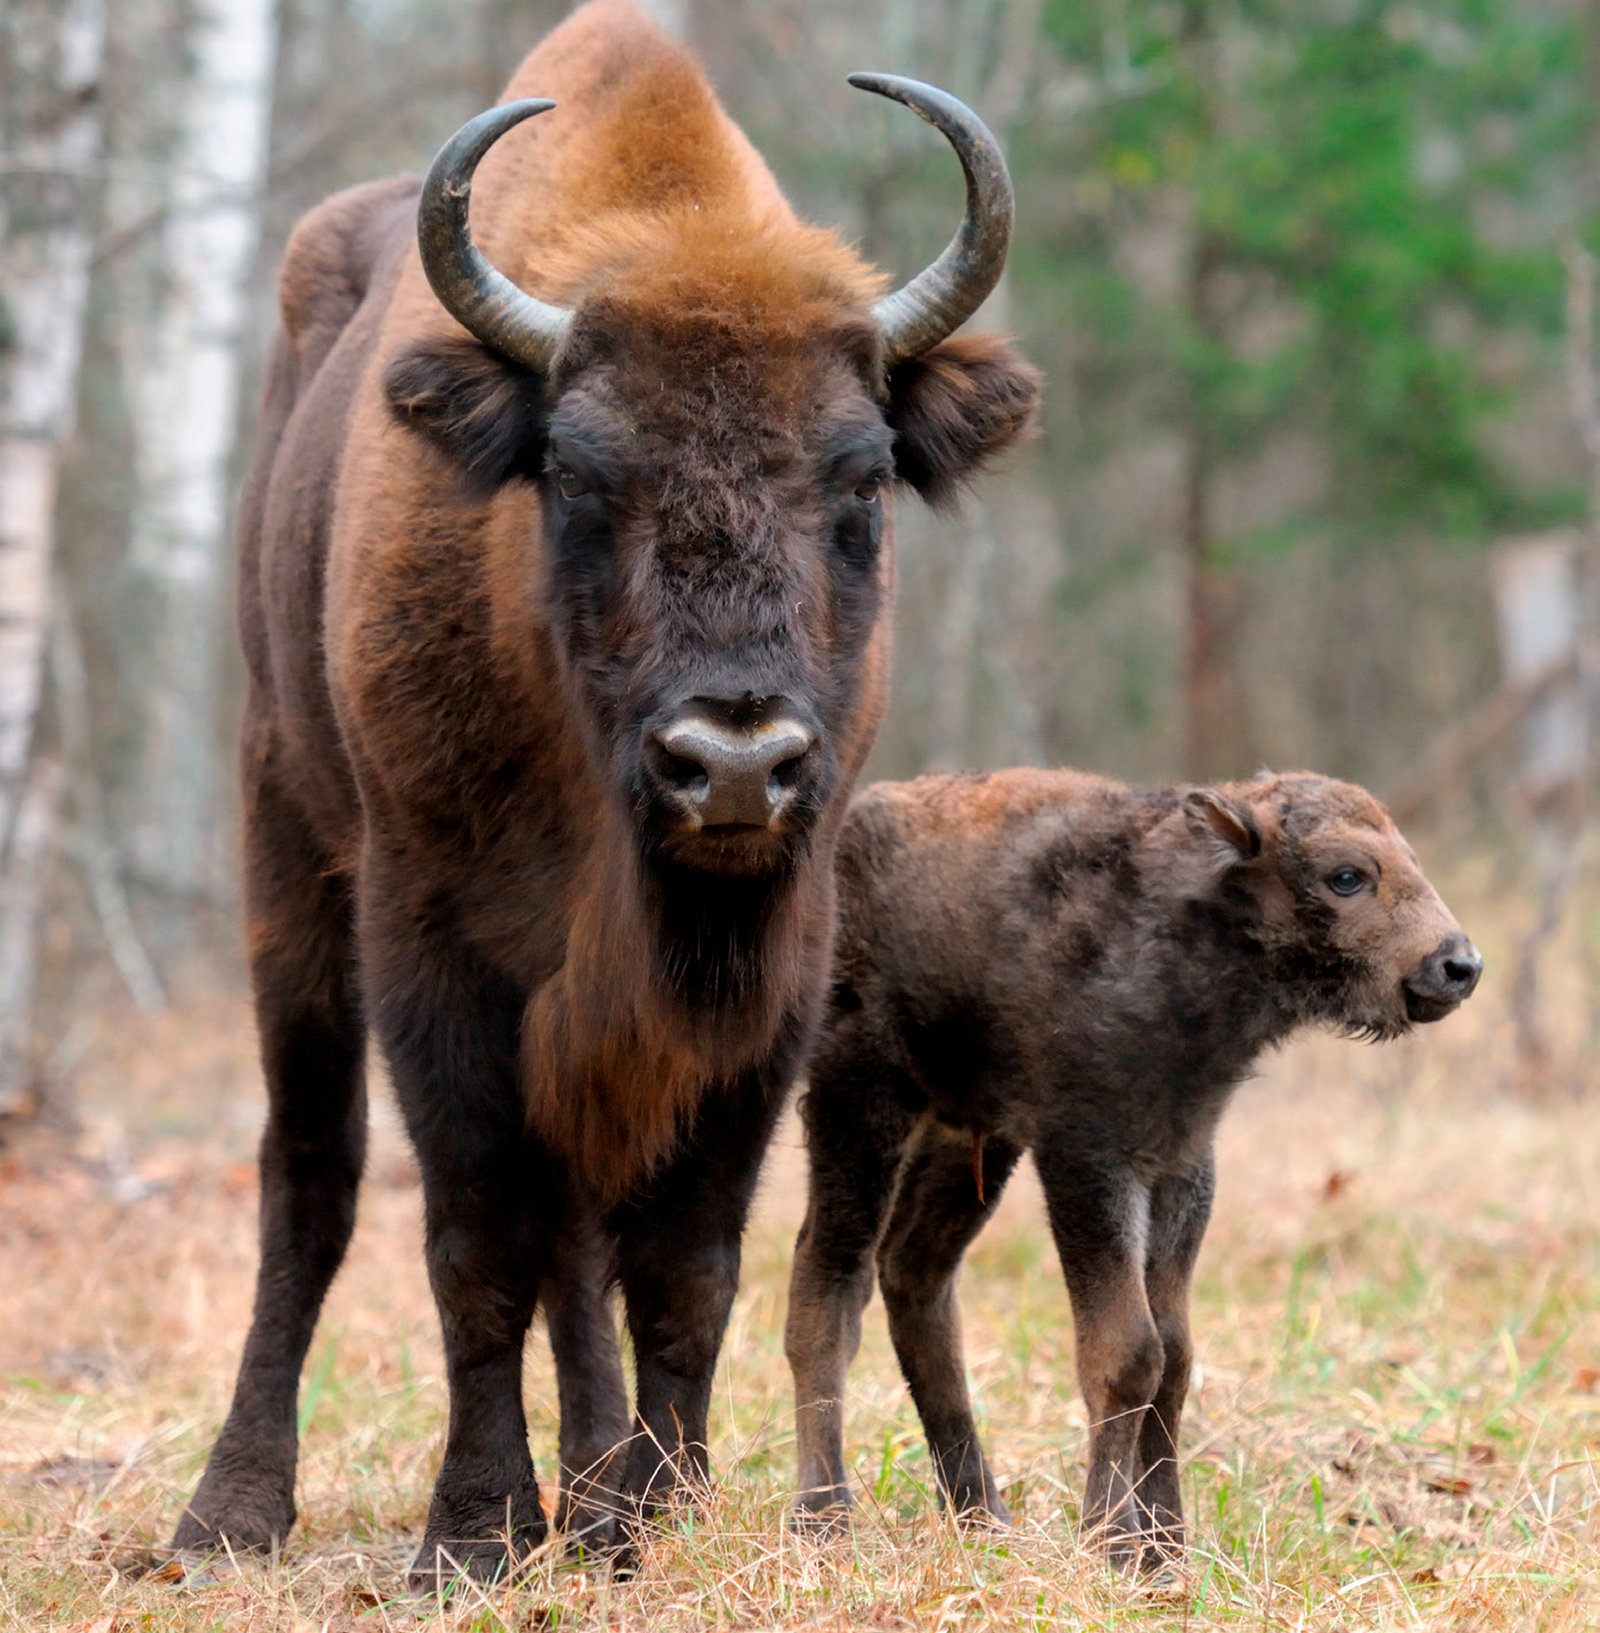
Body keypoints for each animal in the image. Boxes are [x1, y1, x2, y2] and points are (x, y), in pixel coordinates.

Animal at [174, 0, 1044, 1580]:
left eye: (864, 478)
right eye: (576, 472)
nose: (734, 764)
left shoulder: (772, 971)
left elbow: (680, 1258)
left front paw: (661, 1509)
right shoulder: (432, 944)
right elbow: (470, 1237)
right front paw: (471, 1530)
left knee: (575, 1233)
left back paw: (594, 1495)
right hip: (284, 839)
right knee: (312, 1175)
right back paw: (233, 1509)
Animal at [780, 770, 1482, 1561]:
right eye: (1347, 876)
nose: (1457, 965)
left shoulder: (1180, 1164)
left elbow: (1174, 1356)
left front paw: (1166, 1546)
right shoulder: (1088, 1157)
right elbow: (1127, 1352)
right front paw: (1112, 1540)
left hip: (970, 1139)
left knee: (916, 1280)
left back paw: (982, 1512)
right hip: (860, 1101)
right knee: (829, 1282)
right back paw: (823, 1518)